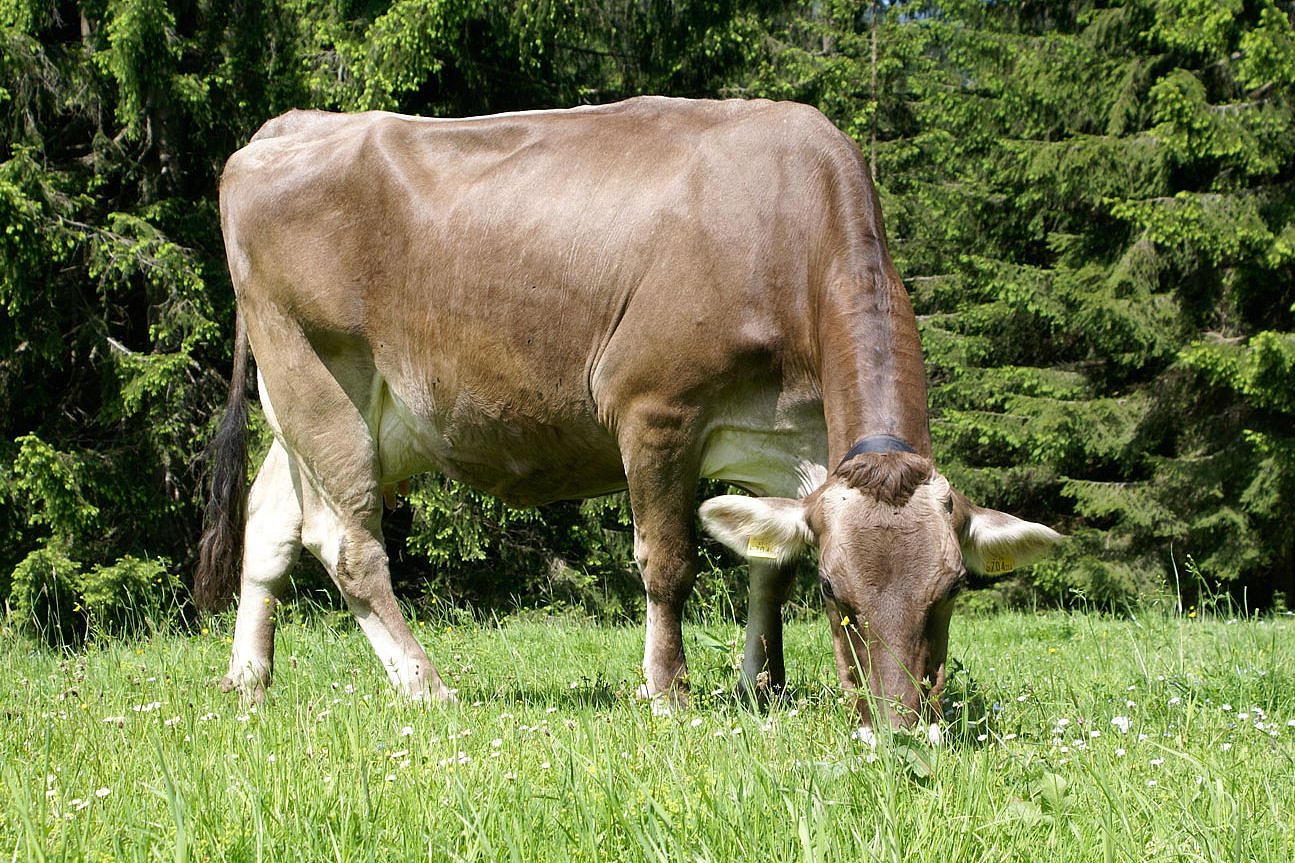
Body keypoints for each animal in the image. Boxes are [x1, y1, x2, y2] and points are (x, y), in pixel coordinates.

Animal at [194, 95, 1061, 725]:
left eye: (951, 590)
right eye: (835, 594)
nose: (899, 723)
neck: (782, 228)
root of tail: (289, 125)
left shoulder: (793, 439)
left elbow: (766, 564)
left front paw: (763, 685)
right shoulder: (654, 407)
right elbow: (668, 563)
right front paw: (668, 690)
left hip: (327, 409)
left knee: (269, 523)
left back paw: (247, 680)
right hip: (314, 373)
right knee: (344, 541)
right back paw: (425, 684)